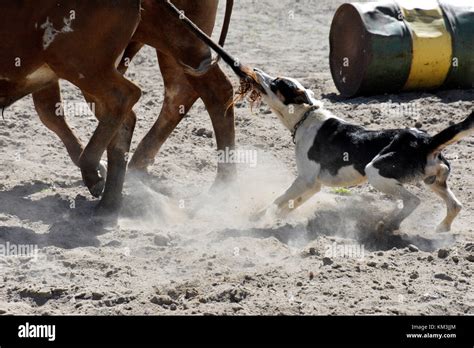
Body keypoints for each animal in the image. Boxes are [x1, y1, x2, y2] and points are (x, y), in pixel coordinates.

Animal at [0, 0, 141, 215]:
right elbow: (50, 114)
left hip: (80, 63)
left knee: (125, 96)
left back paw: (91, 172)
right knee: (123, 117)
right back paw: (109, 203)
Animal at [32, 0, 236, 190]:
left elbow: (48, 111)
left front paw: (95, 172)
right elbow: (48, 110)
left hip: (177, 39)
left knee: (215, 90)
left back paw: (223, 184)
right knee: (180, 93)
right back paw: (137, 163)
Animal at [254, 68, 472, 232]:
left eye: (276, 82)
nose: (254, 70)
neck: (305, 118)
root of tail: (425, 140)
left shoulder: (304, 180)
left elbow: (279, 198)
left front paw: (259, 216)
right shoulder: (313, 185)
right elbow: (290, 202)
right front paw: (276, 217)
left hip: (375, 171)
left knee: (413, 201)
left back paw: (388, 224)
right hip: (433, 181)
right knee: (455, 205)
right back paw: (441, 229)